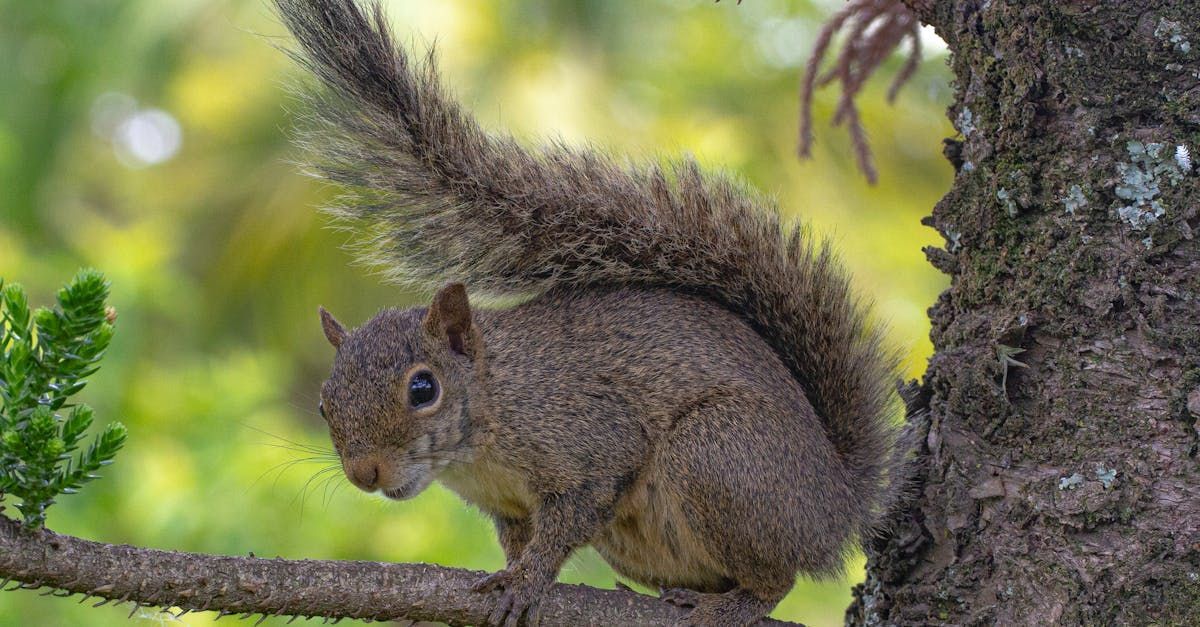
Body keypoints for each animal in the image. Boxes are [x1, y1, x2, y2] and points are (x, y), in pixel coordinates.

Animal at [277, 0, 917, 625]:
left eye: (423, 389)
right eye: (324, 403)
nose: (364, 473)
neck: (491, 409)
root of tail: (838, 506)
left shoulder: (589, 439)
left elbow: (573, 514)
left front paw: (527, 580)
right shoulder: (509, 508)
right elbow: (522, 538)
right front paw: (518, 571)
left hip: (719, 454)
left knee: (775, 578)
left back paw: (729, 606)